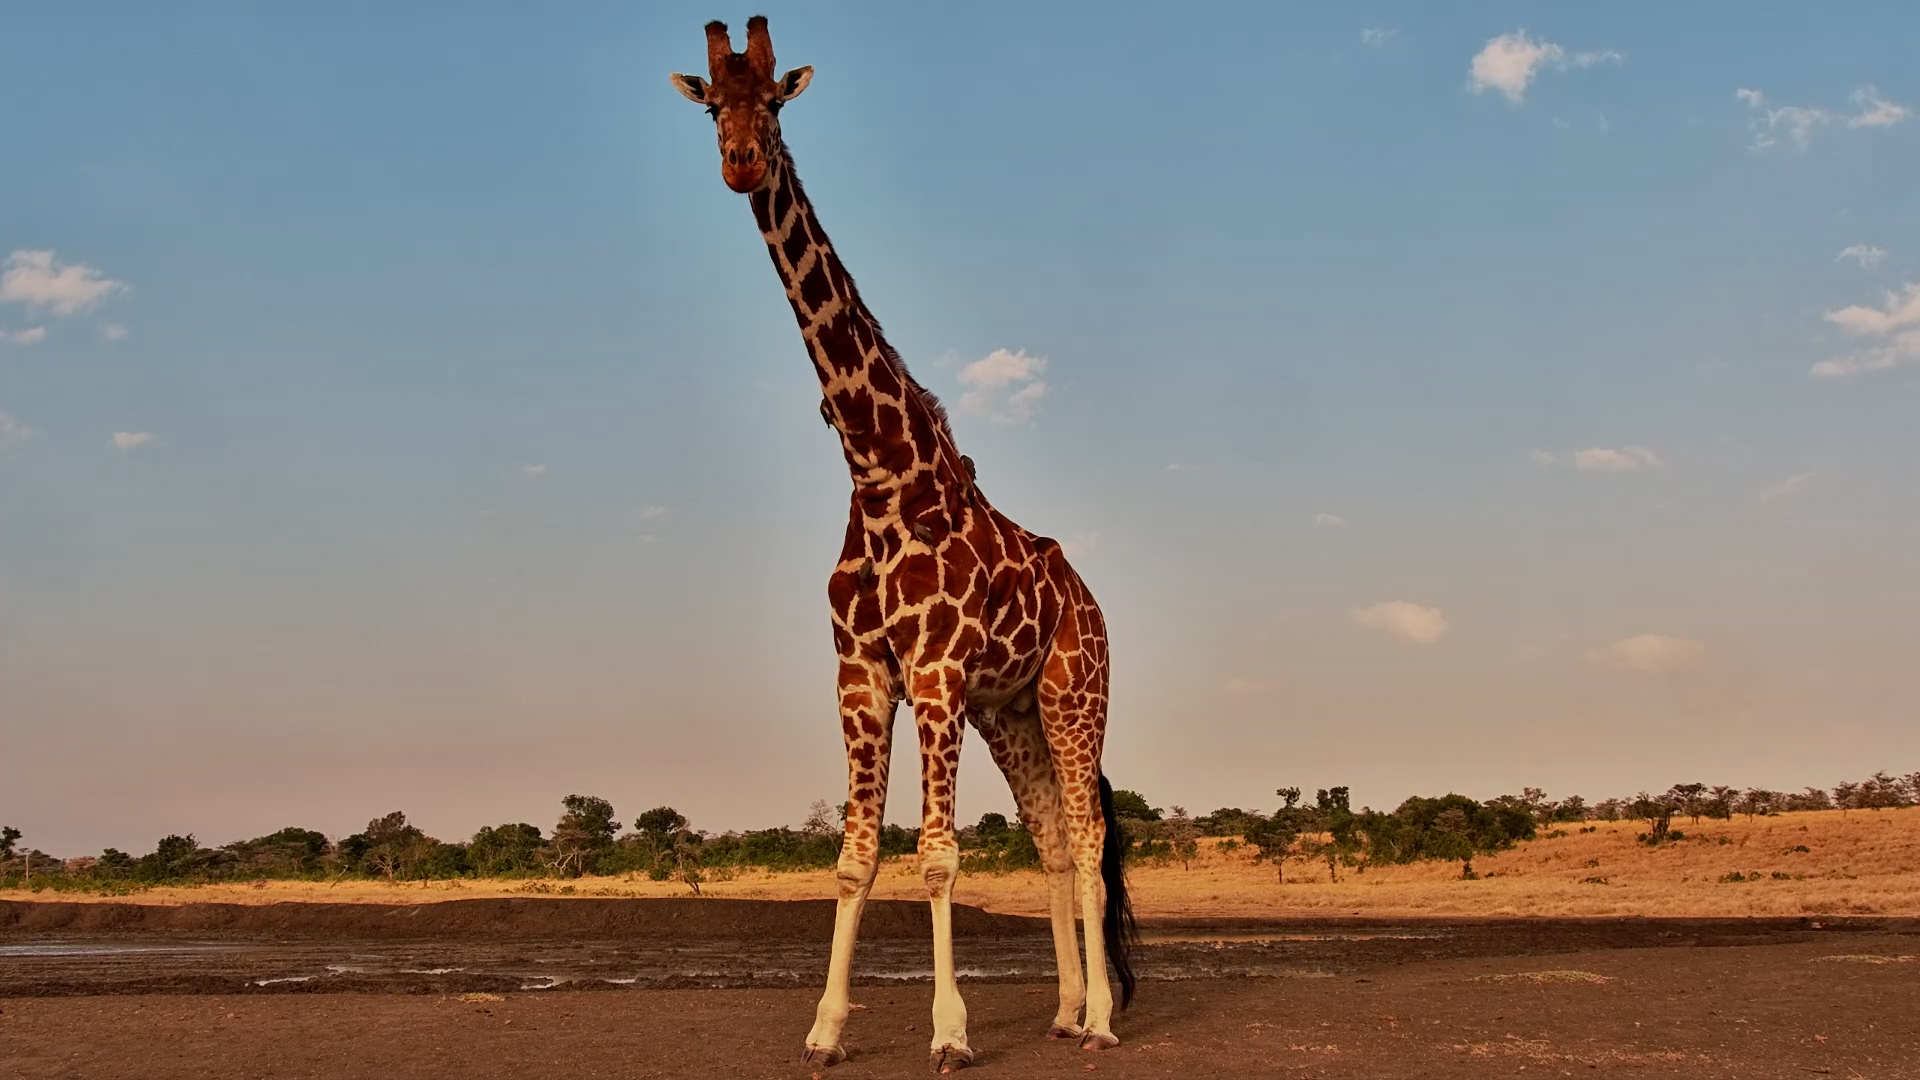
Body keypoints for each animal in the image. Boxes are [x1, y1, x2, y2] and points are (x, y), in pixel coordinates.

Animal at [671, 16, 1136, 1071]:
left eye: (777, 102)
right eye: (715, 106)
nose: (740, 162)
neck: (878, 470)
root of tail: (1091, 601)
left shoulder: (934, 672)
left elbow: (937, 856)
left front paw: (951, 1034)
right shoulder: (860, 672)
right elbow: (854, 858)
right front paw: (824, 1030)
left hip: (1073, 692)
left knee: (1091, 837)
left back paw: (1099, 1019)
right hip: (1012, 712)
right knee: (1054, 837)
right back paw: (1063, 1010)